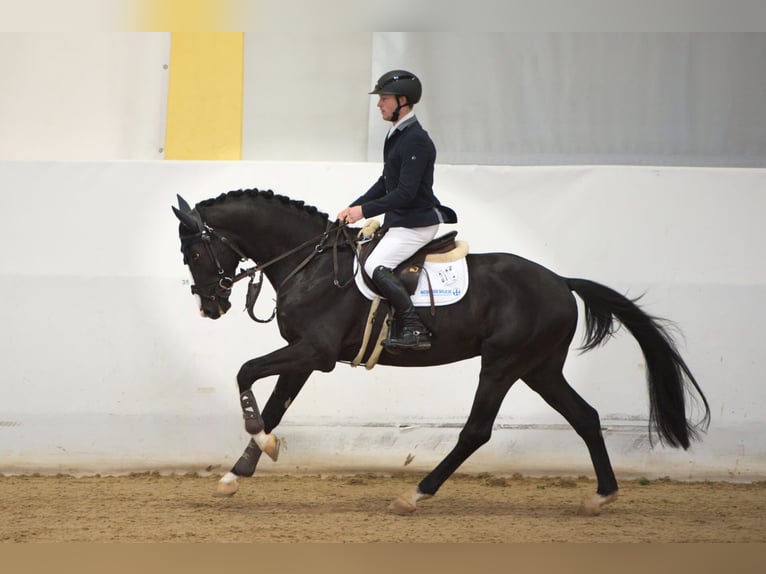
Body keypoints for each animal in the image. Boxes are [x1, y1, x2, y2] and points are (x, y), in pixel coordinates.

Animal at [172, 189, 708, 516]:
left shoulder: (314, 352)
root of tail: (560, 281)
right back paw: (602, 496)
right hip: (540, 368)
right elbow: (276, 406)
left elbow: (245, 373)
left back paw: (415, 494)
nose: (212, 306)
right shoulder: (303, 353)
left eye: (194, 252)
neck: (313, 262)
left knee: (477, 431)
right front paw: (239, 471)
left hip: (503, 364)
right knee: (585, 417)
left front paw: (258, 446)